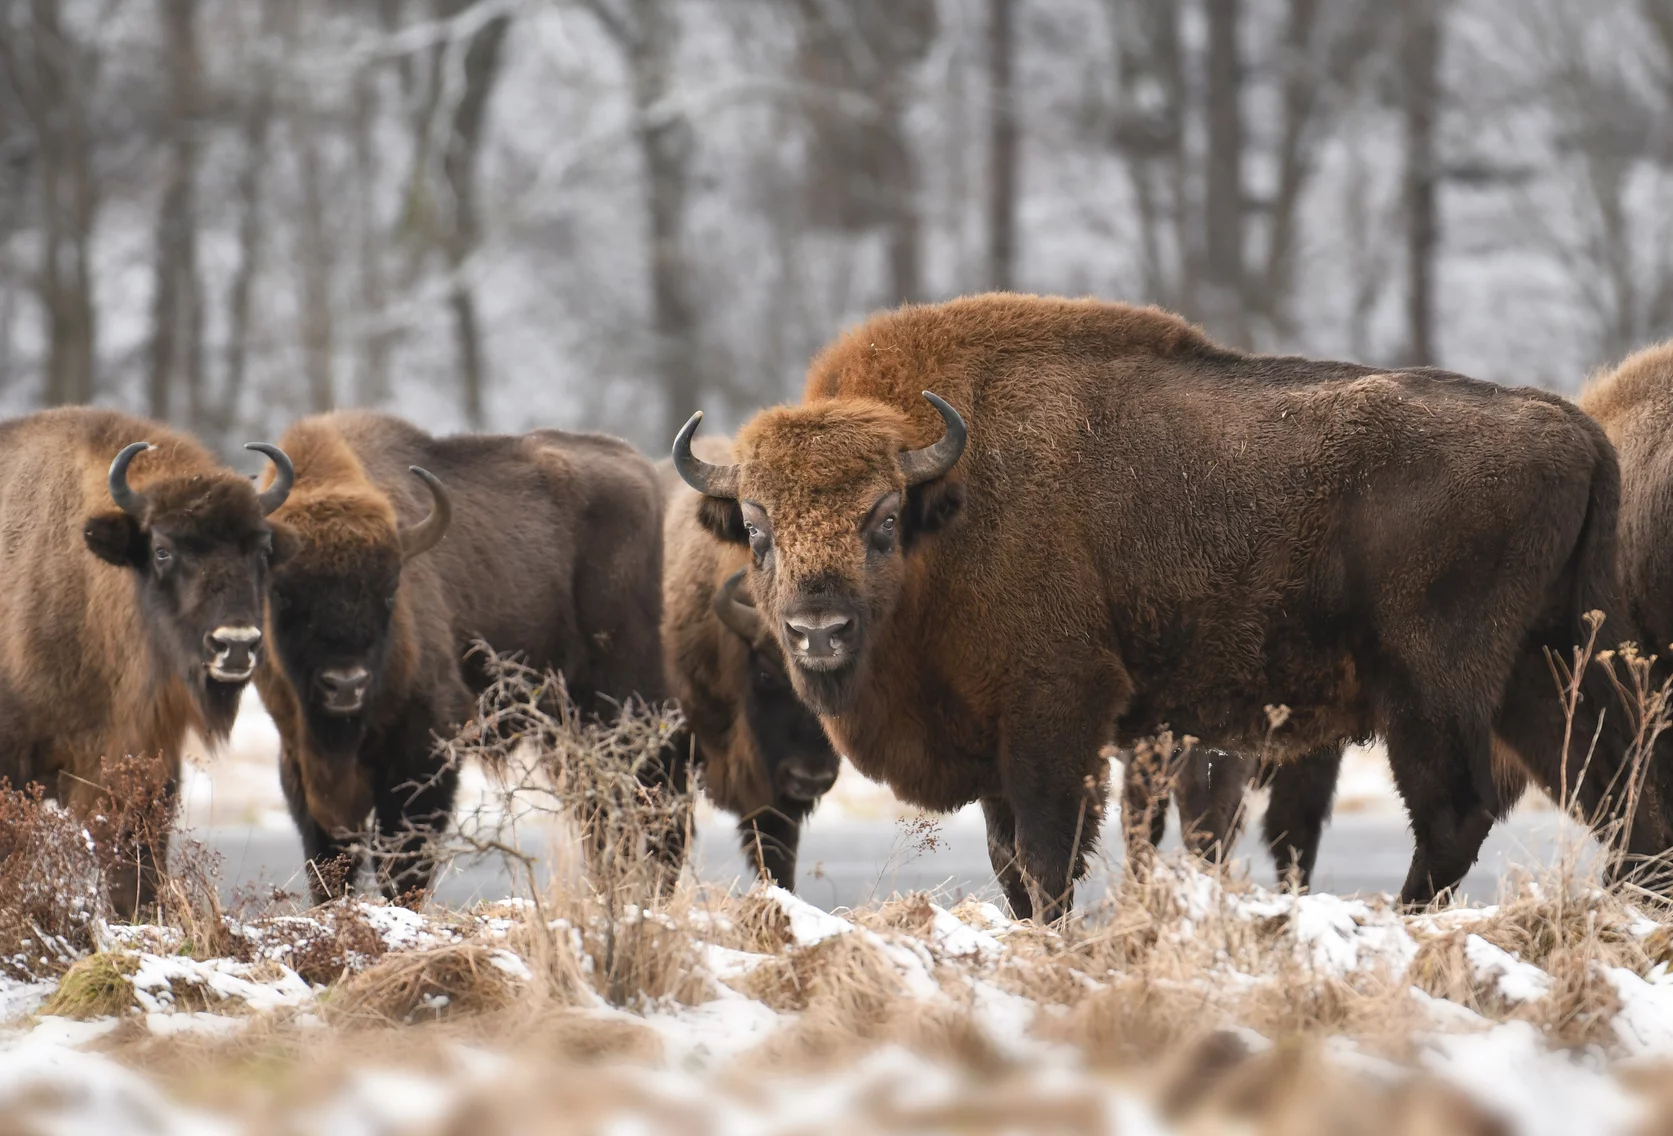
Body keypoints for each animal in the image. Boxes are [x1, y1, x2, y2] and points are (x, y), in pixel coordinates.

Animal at [249, 413, 679, 903]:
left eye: (389, 589)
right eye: (282, 591)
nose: (345, 684)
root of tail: (641, 469)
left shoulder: (426, 746)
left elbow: (404, 857)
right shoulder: (300, 759)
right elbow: (328, 860)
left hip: (625, 705)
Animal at [672, 296, 1652, 923]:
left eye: (880, 520)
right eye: (755, 527)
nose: (818, 630)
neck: (945, 506)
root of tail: (1572, 426)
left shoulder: (1055, 718)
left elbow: (1045, 858)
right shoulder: (999, 741)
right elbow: (1009, 863)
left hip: (1435, 690)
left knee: (1455, 813)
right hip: (1550, 675)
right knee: (1620, 793)